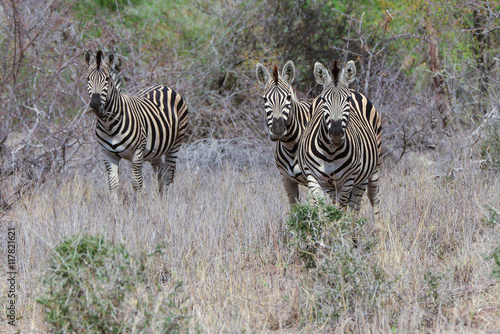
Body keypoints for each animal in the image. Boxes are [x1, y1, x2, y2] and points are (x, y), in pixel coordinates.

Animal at [83, 49, 188, 198]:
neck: (109, 124)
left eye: (107, 79)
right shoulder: (107, 154)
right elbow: (113, 185)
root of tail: (164, 86)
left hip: (175, 144)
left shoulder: (137, 152)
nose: (95, 104)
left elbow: (137, 183)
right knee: (160, 173)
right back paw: (161, 200)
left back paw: (166, 201)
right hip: (155, 151)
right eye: (88, 79)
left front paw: (140, 204)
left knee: (168, 175)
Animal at [258, 61, 312, 205]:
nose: (277, 129)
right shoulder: (286, 178)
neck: (291, 145)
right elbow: (295, 208)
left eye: (288, 97)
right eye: (265, 99)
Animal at [296, 60, 382, 222]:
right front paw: (323, 228)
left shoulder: (348, 179)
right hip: (333, 185)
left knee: (368, 200)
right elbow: (322, 209)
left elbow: (341, 211)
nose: (336, 134)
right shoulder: (313, 177)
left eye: (347, 99)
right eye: (323, 100)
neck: (330, 152)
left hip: (371, 171)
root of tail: (354, 89)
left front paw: (338, 228)